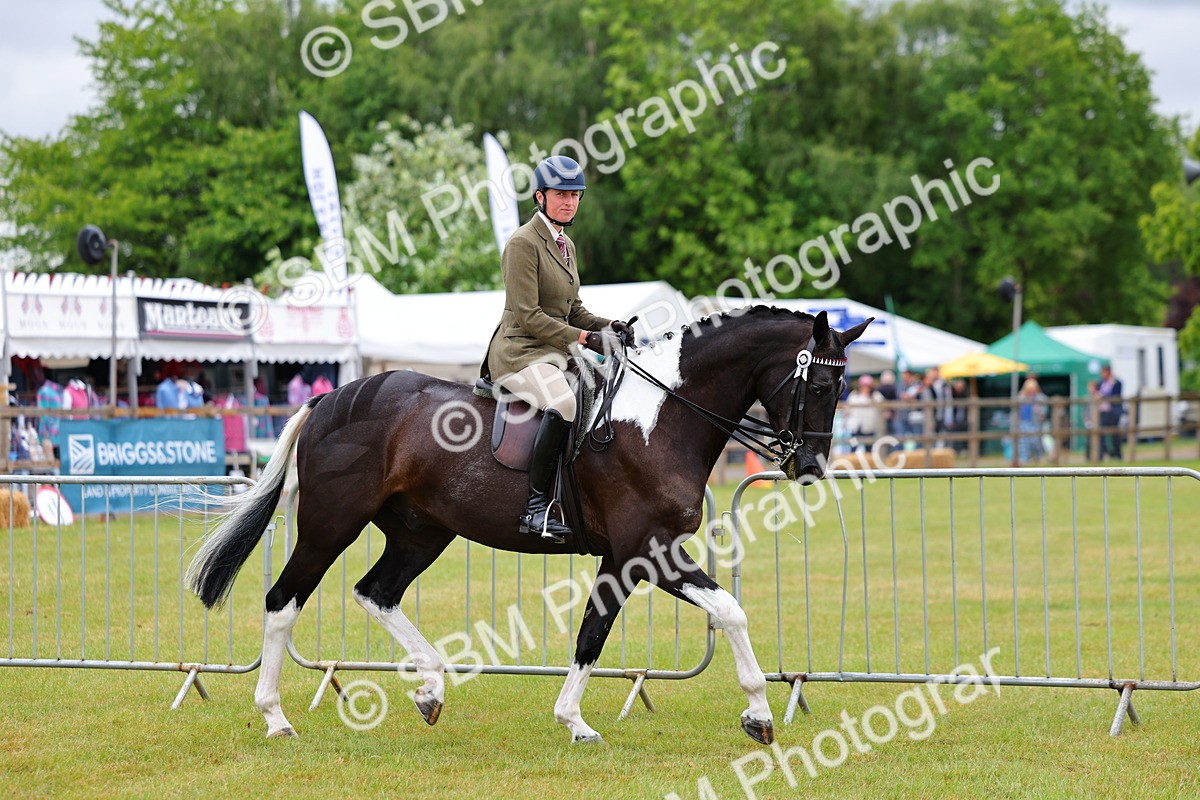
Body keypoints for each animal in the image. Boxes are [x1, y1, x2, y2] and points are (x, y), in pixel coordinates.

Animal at [186, 307, 870, 744]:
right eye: (821, 383)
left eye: (843, 386)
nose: (810, 467)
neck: (663, 416)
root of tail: (330, 398)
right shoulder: (645, 551)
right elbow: (719, 611)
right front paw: (757, 713)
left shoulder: (628, 557)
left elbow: (595, 632)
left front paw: (576, 720)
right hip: (331, 525)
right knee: (284, 600)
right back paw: (275, 717)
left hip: (421, 531)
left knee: (376, 592)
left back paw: (431, 689)